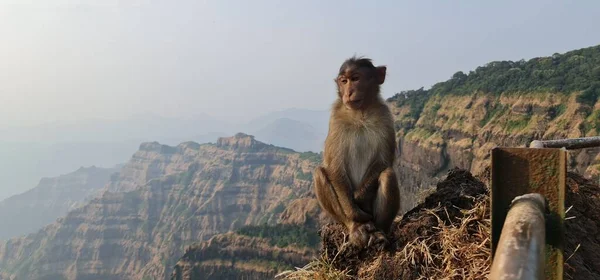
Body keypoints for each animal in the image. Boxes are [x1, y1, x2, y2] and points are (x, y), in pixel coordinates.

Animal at [312, 55, 400, 248]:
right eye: (343, 81)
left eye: (356, 78)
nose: (348, 93)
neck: (360, 114)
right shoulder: (335, 120)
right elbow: (335, 167)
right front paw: (355, 212)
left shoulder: (385, 115)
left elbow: (383, 161)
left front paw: (361, 198)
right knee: (320, 173)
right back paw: (356, 226)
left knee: (388, 174)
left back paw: (379, 232)